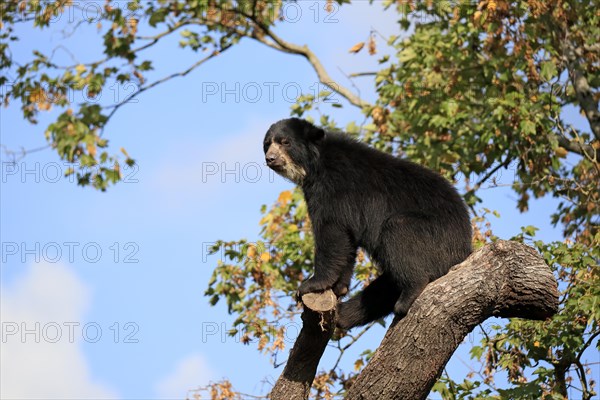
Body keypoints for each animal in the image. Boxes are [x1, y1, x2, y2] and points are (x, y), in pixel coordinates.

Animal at [262, 117, 474, 330]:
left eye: (285, 142)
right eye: (267, 144)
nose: (270, 158)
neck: (315, 164)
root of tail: (465, 248)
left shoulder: (332, 189)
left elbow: (332, 231)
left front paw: (310, 285)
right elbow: (347, 241)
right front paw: (339, 287)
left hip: (435, 239)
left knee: (399, 234)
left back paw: (408, 295)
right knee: (383, 288)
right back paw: (343, 314)